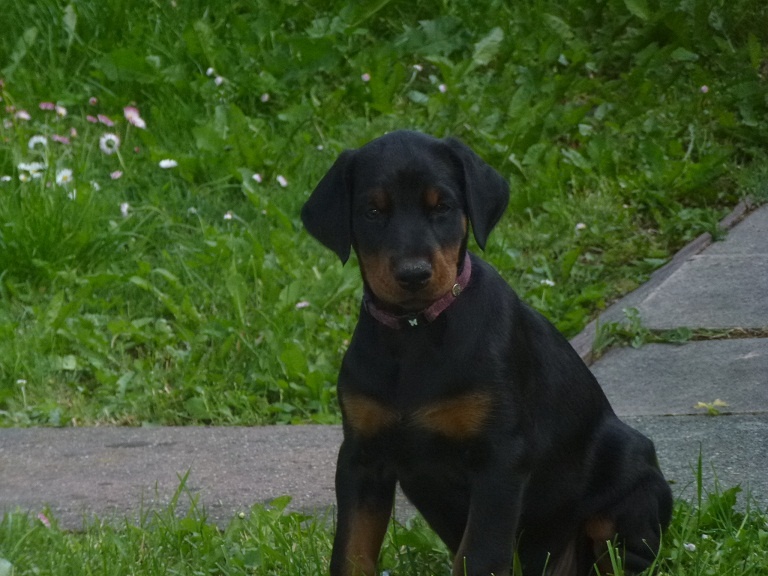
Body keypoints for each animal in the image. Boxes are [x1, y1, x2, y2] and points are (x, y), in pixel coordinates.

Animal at [301, 130, 672, 576]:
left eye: (441, 206)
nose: (413, 274)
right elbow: (351, 551)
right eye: (373, 211)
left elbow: (479, 553)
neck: (415, 334)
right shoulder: (362, 457)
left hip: (629, 482)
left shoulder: (500, 459)